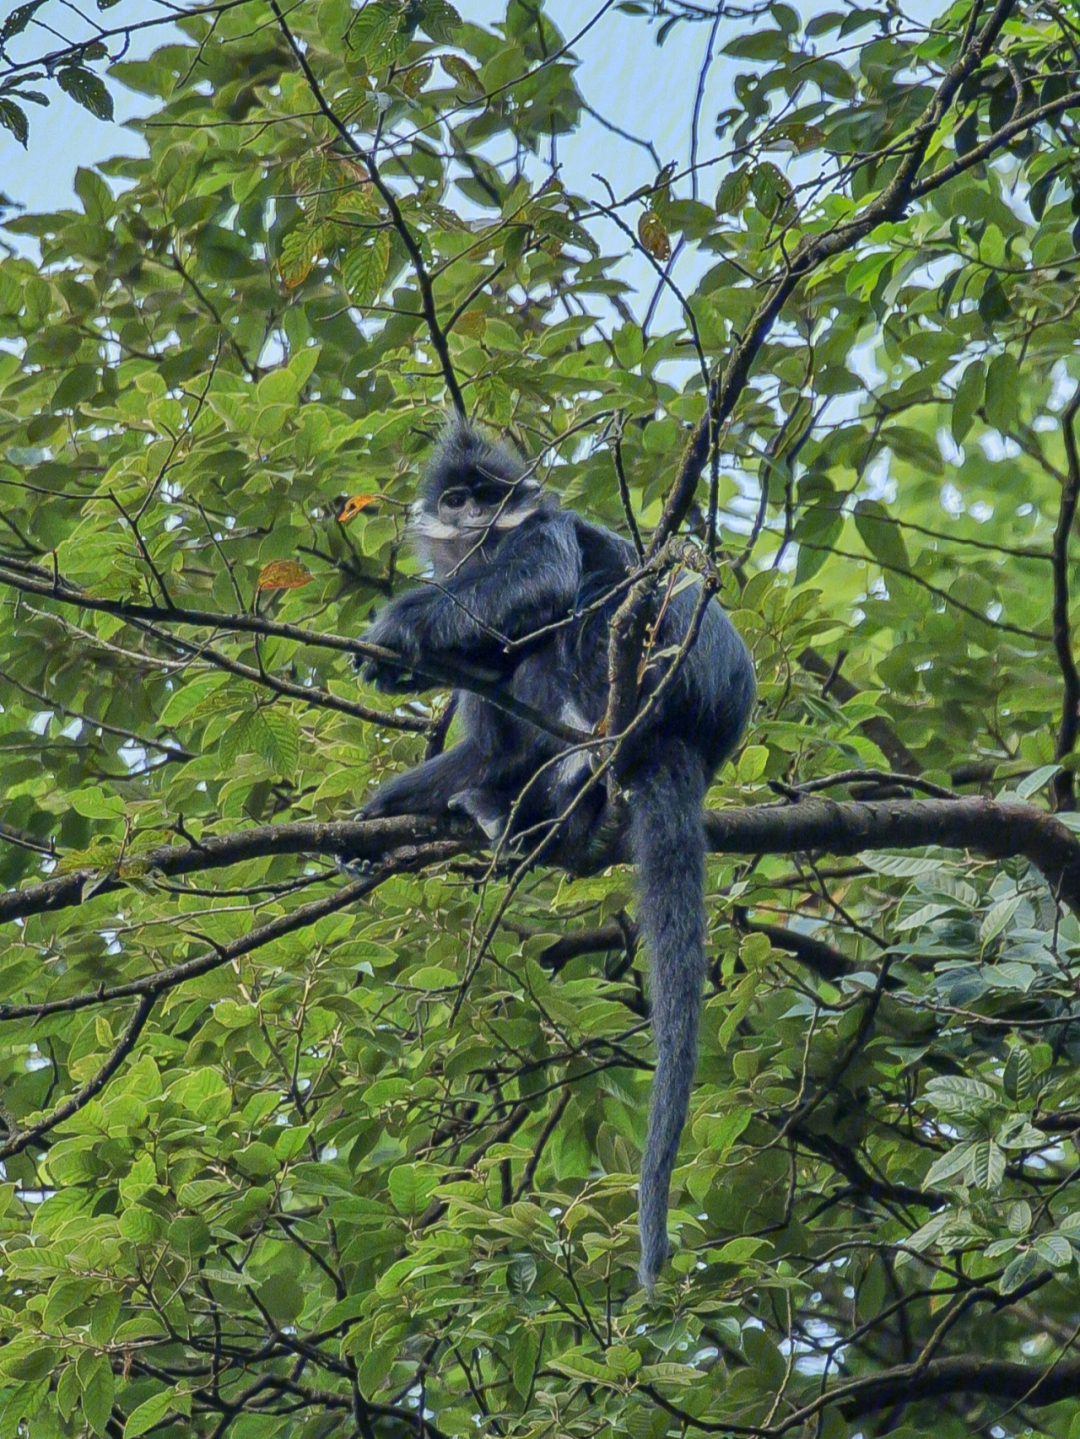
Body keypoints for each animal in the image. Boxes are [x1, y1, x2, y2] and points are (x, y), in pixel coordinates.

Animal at [359, 417, 753, 1283]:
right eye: (457, 497)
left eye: (491, 494)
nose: (476, 514)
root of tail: (688, 736)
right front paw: (384, 809)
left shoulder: (540, 530)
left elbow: (540, 575)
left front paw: (396, 626)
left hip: (621, 683)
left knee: (556, 627)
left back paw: (549, 798)